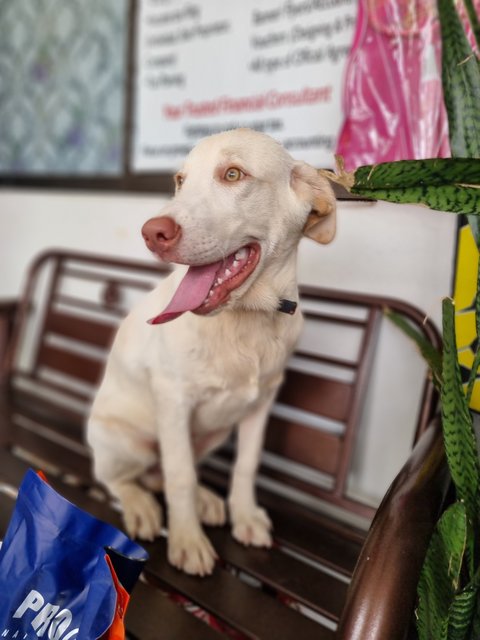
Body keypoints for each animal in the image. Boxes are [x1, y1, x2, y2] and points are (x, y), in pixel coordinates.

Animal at [88, 126, 336, 576]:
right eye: (180, 181)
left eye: (233, 174)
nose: (152, 232)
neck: (248, 319)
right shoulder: (173, 400)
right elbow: (180, 475)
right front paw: (187, 539)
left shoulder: (262, 402)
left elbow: (245, 465)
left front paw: (244, 515)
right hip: (126, 441)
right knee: (121, 478)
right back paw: (140, 506)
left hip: (212, 433)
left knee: (160, 474)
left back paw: (204, 500)